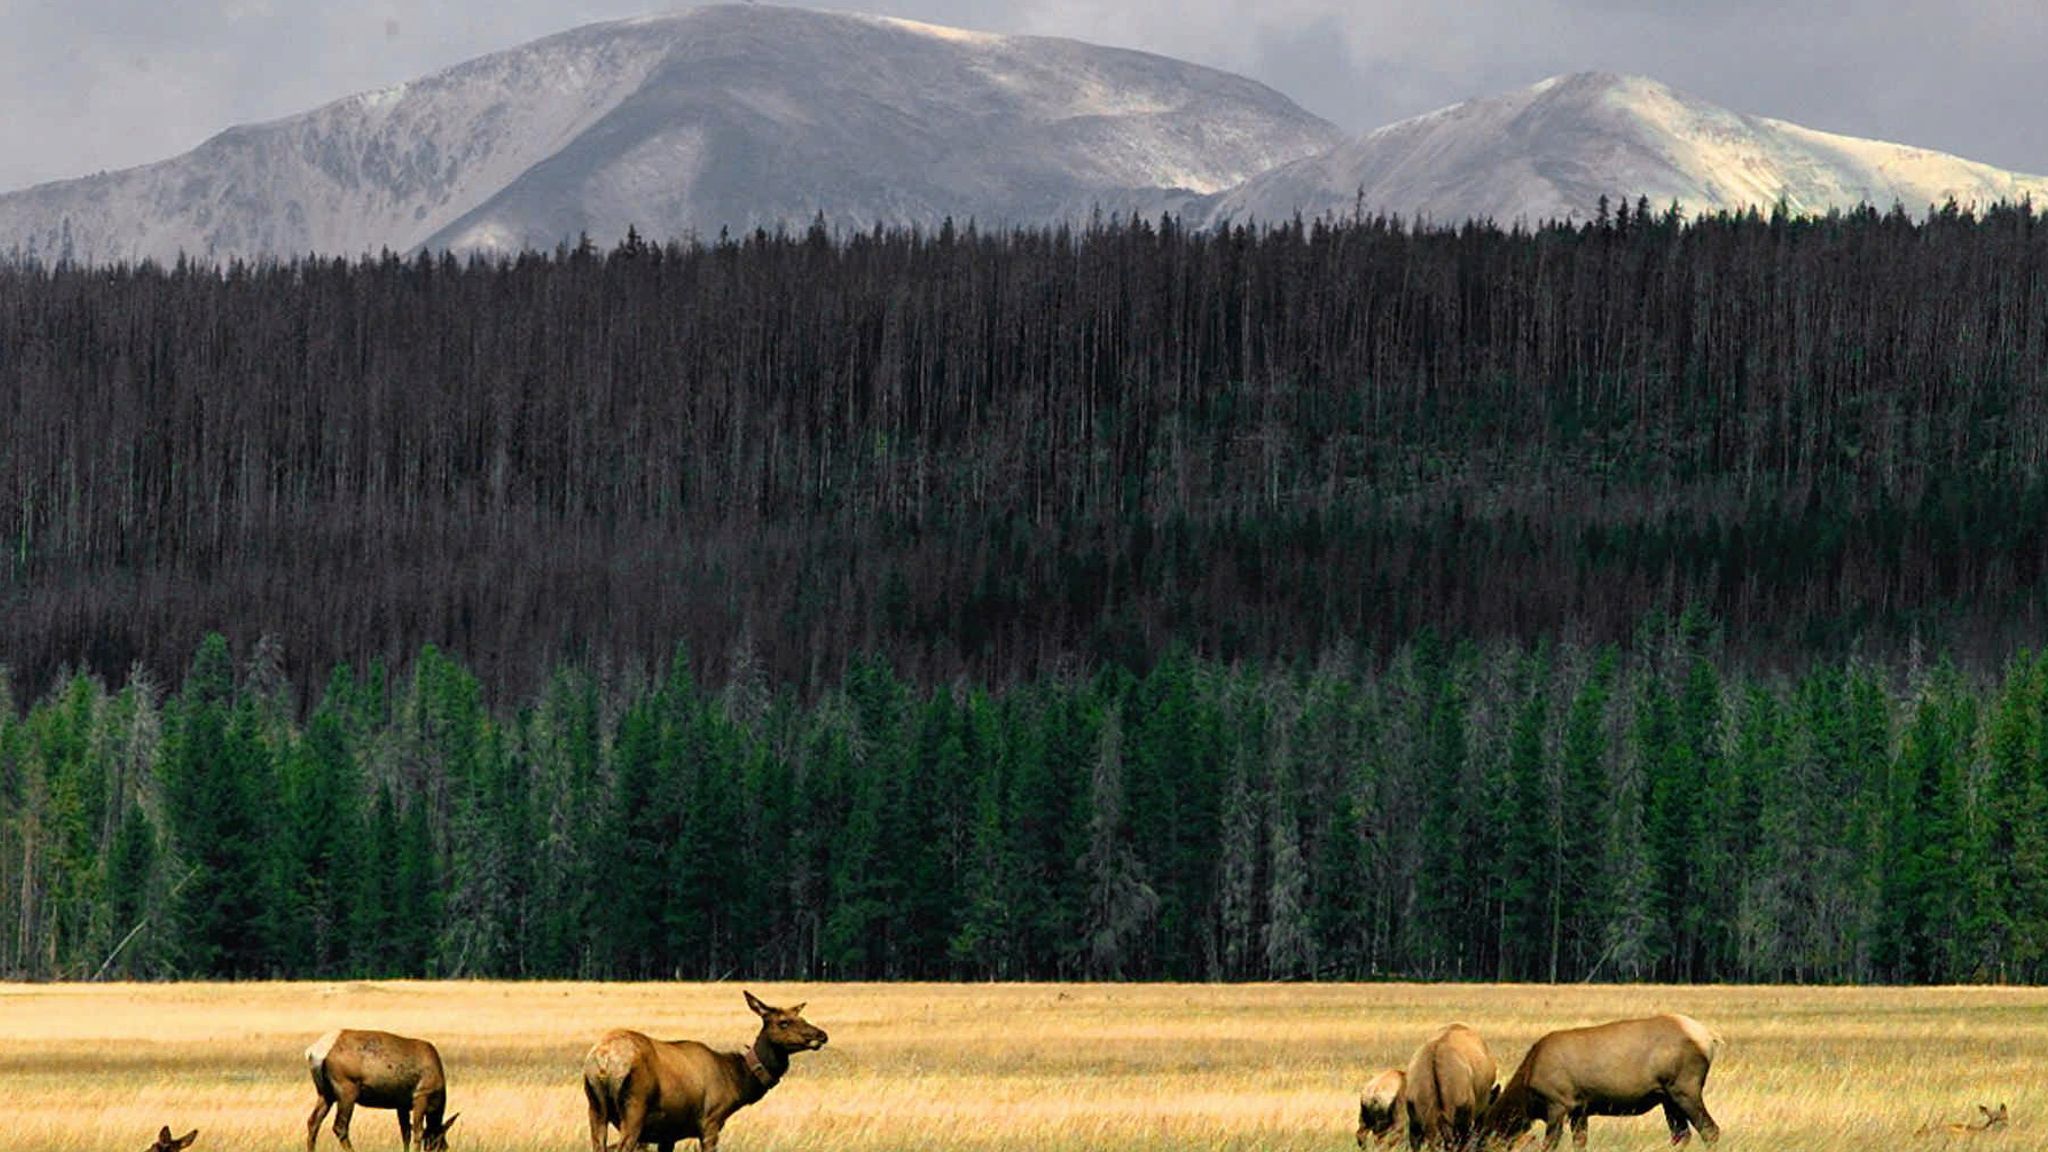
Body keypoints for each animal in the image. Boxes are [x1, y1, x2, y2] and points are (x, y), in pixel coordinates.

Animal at [305, 1020, 462, 1147]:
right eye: (442, 1146)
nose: (444, 1146)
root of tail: (314, 1052)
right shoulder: (421, 1095)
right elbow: (418, 1132)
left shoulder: (402, 1105)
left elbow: (406, 1133)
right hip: (346, 1090)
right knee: (340, 1127)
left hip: (325, 1093)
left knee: (313, 1122)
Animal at [581, 988, 827, 1147]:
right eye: (783, 1022)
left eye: (802, 1017)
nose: (822, 1035)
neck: (737, 1081)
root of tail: (604, 1061)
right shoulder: (710, 1121)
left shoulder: (668, 1133)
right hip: (635, 1106)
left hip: (595, 1106)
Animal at [1482, 1008, 1720, 1139]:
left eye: (1482, 1131)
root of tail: (1710, 1039)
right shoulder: (1580, 1109)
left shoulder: (1558, 1102)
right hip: (1667, 1097)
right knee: (1682, 1135)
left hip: (1684, 1088)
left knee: (1710, 1130)